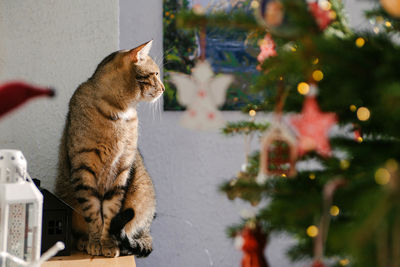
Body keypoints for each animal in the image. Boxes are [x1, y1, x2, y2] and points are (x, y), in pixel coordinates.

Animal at [54, 40, 162, 258]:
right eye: (155, 74)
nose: (163, 88)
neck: (119, 112)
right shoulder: (84, 170)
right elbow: (94, 213)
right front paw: (96, 242)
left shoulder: (121, 170)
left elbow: (111, 214)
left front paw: (107, 244)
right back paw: (84, 241)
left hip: (141, 193)